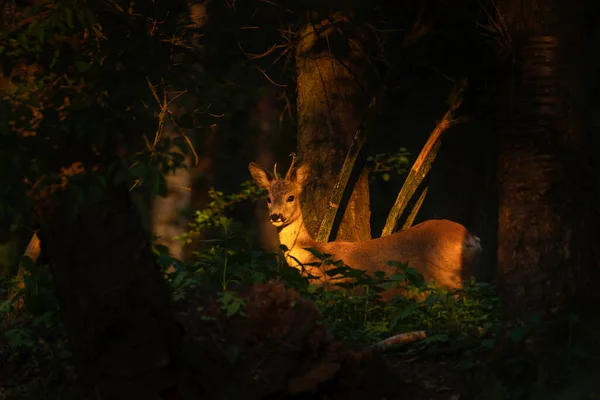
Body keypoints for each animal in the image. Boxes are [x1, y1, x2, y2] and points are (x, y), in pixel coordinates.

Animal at [248, 158, 482, 298]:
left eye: (291, 197)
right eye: (268, 198)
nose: (276, 216)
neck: (312, 254)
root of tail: (472, 239)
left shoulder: (335, 290)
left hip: (447, 279)